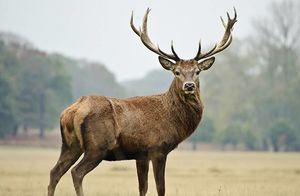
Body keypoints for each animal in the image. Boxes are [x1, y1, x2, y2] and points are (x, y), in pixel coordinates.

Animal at [47, 7, 237, 196]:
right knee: (76, 172)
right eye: (176, 72)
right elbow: (161, 188)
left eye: (197, 71)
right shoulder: (158, 148)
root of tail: (73, 110)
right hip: (97, 146)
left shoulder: (141, 155)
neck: (173, 119)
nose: (189, 85)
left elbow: (143, 188)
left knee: (55, 171)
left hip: (70, 145)